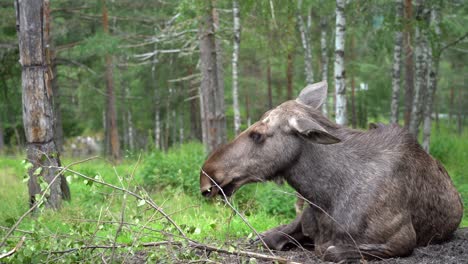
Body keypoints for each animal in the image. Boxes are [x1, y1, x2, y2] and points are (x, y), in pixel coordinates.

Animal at [199, 81, 462, 262]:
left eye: (257, 135)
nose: (207, 177)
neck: (325, 198)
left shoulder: (402, 240)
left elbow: (329, 250)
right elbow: (272, 237)